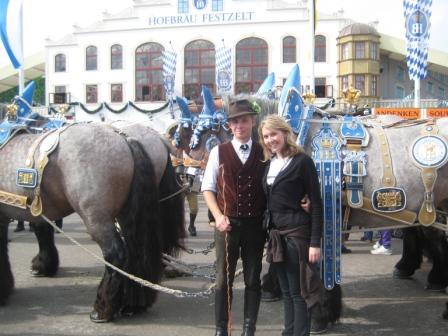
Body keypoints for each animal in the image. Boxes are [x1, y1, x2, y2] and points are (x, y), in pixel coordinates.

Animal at [0, 122, 185, 322]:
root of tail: (126, 139)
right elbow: (42, 231)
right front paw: (43, 266)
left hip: (96, 217)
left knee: (116, 254)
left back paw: (103, 308)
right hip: (130, 214)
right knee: (138, 252)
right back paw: (134, 304)